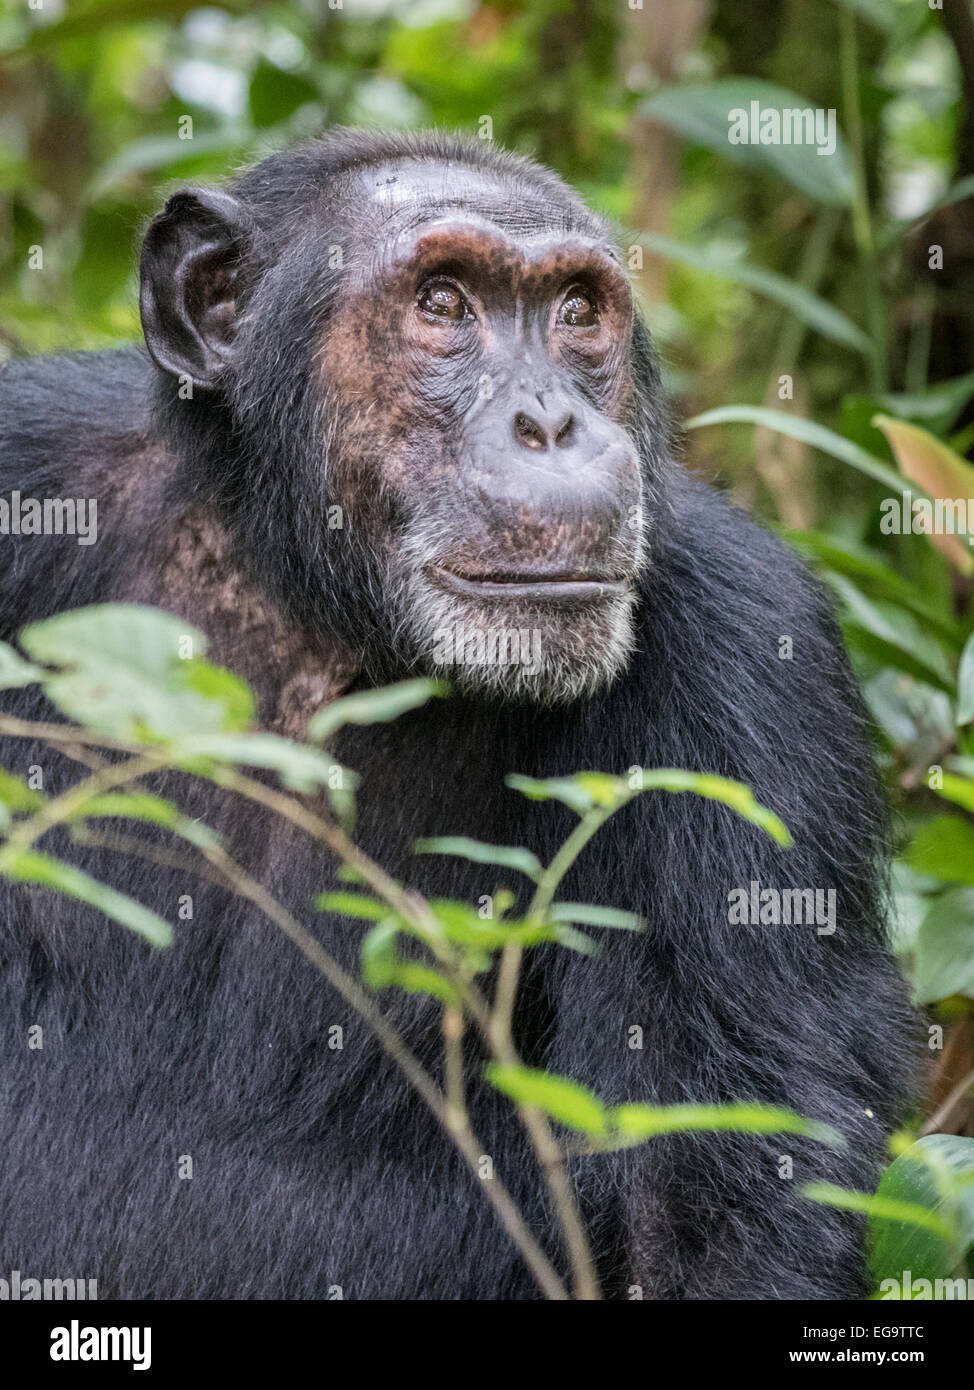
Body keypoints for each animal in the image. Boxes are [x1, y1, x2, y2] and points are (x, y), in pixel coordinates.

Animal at [0, 125, 911, 1295]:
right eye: (443, 302)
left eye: (576, 311)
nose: (550, 422)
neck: (309, 598)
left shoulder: (750, 668)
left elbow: (719, 1194)